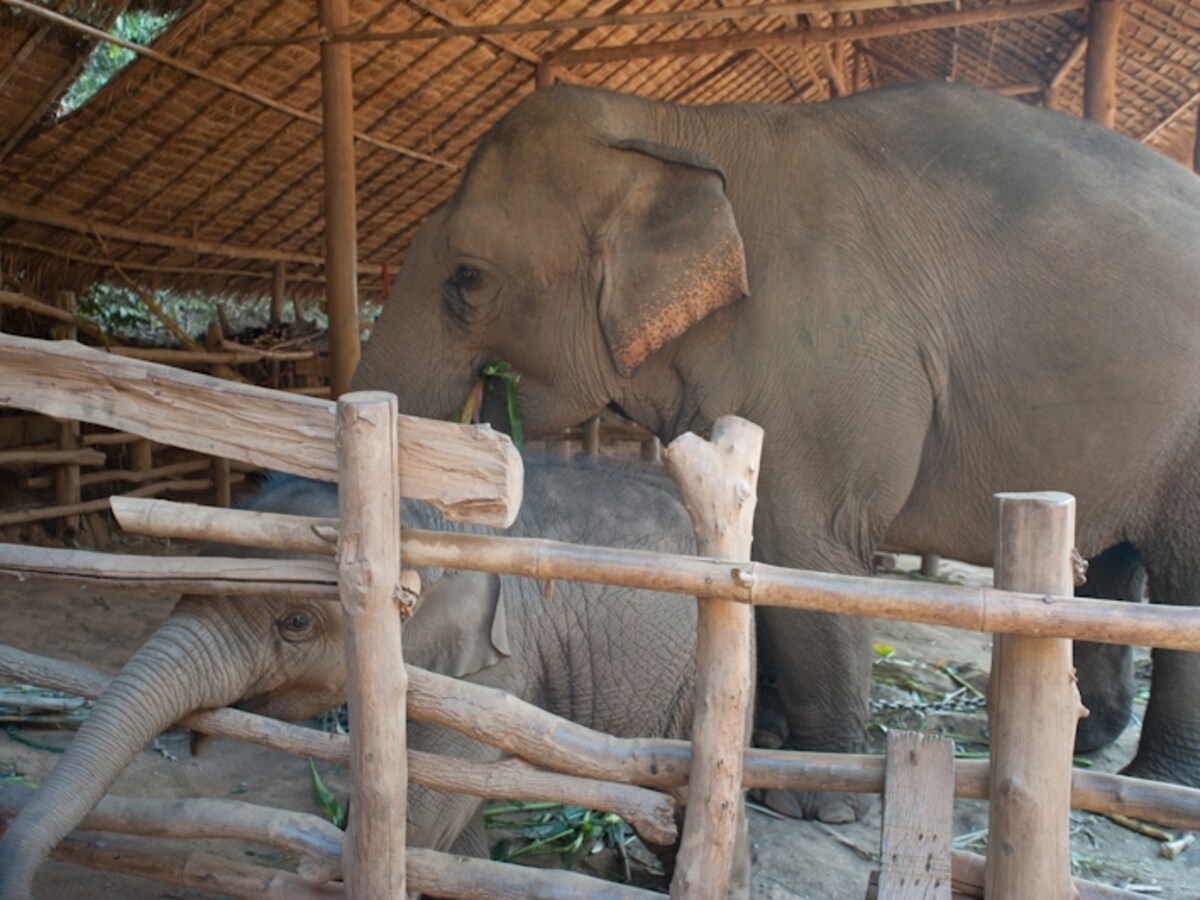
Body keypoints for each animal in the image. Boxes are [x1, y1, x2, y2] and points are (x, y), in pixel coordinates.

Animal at [351, 80, 1200, 820]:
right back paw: (1084, 744)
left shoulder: (826, 346)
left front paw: (811, 802)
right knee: (1114, 565)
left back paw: (1155, 794)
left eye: (467, 279)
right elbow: (751, 548)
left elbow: (806, 546)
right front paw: (762, 739)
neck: (676, 126)